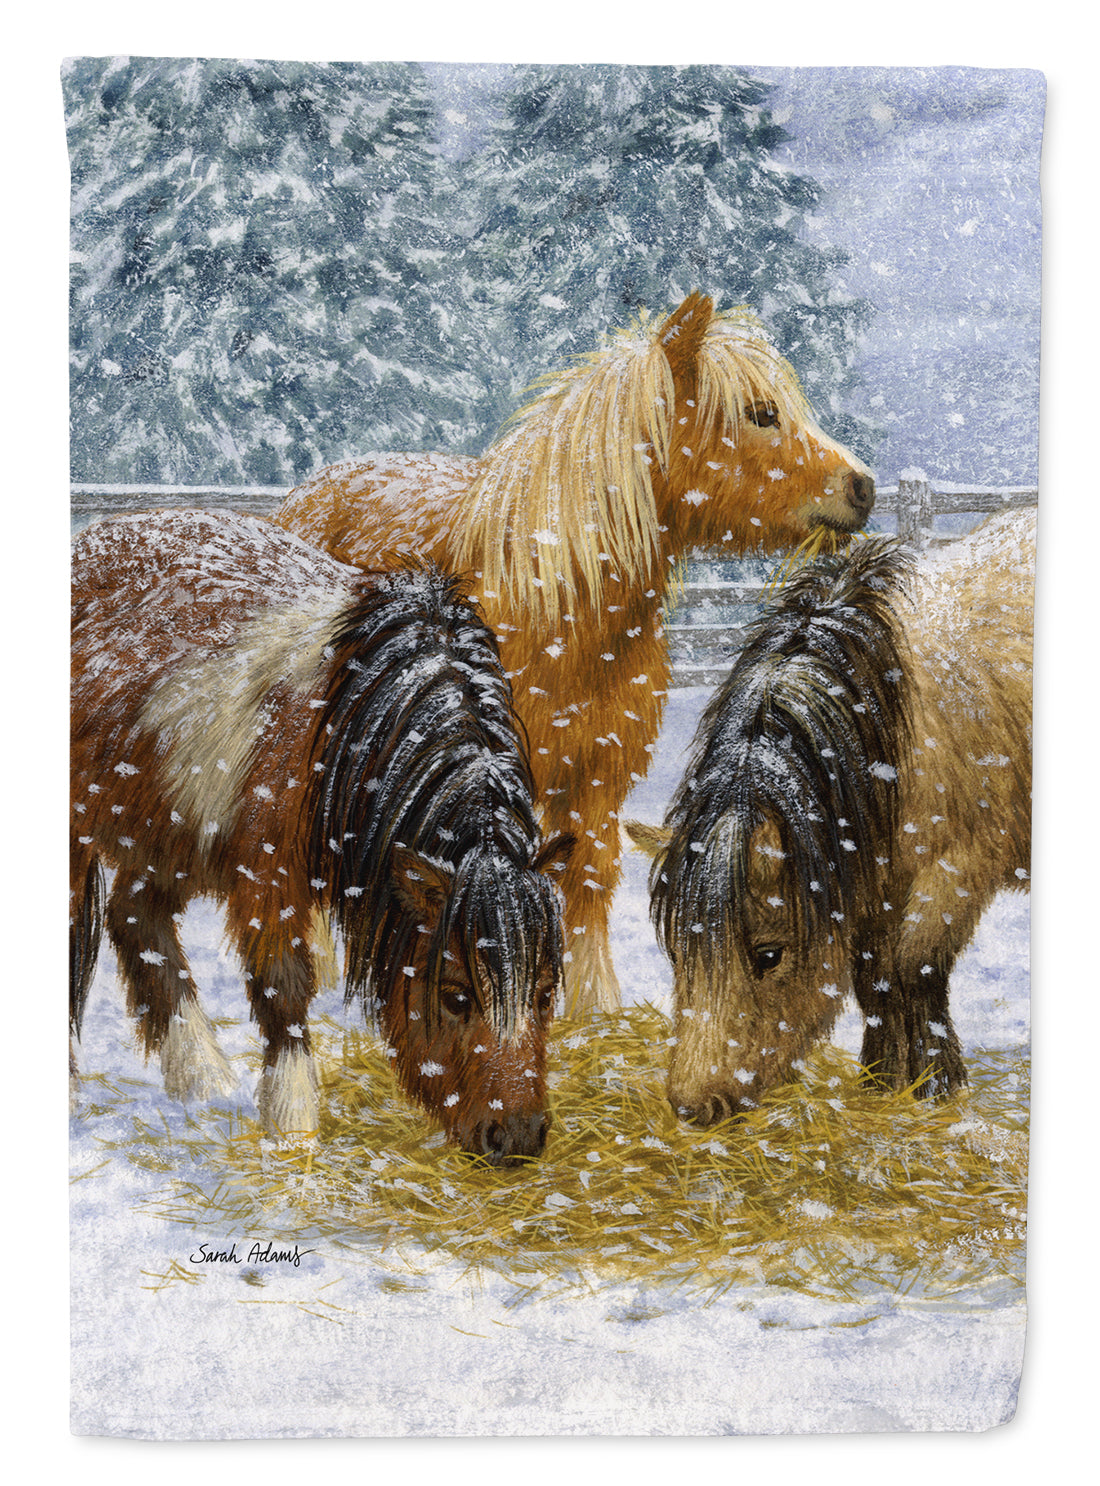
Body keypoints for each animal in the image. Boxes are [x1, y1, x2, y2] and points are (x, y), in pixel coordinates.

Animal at [70, 509, 573, 1161]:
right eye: (457, 995)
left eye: (544, 994)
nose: (518, 1139)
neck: (347, 720)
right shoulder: (267, 878)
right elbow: (284, 988)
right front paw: (293, 1128)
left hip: (166, 834)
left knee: (138, 921)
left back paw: (203, 1084)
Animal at [274, 291, 875, 1016]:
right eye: (761, 415)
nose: (862, 487)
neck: (553, 600)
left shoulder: (597, 772)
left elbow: (587, 876)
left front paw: (592, 1007)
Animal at [626, 508, 1033, 1124]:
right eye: (676, 952)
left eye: (768, 954)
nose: (694, 1109)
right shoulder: (868, 885)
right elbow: (874, 981)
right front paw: (881, 1083)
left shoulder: (954, 874)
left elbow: (913, 971)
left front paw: (935, 1089)